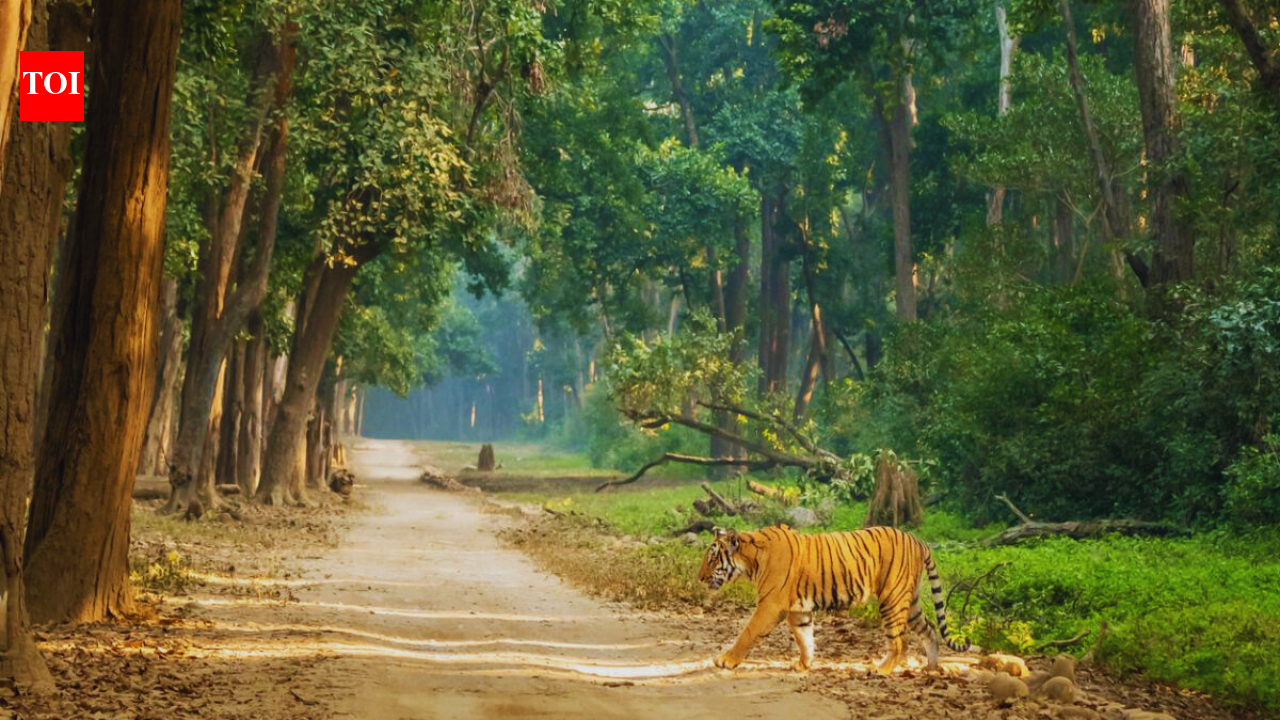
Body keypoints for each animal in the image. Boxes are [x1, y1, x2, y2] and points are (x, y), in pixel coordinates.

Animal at [698, 524, 971, 673]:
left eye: (712, 559)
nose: (699, 578)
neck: (751, 561)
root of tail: (918, 540)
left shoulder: (770, 605)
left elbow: (748, 632)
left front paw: (726, 660)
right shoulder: (798, 611)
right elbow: (804, 638)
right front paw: (804, 665)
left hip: (892, 598)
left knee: (899, 642)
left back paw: (881, 669)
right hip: (910, 600)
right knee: (930, 630)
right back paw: (931, 668)